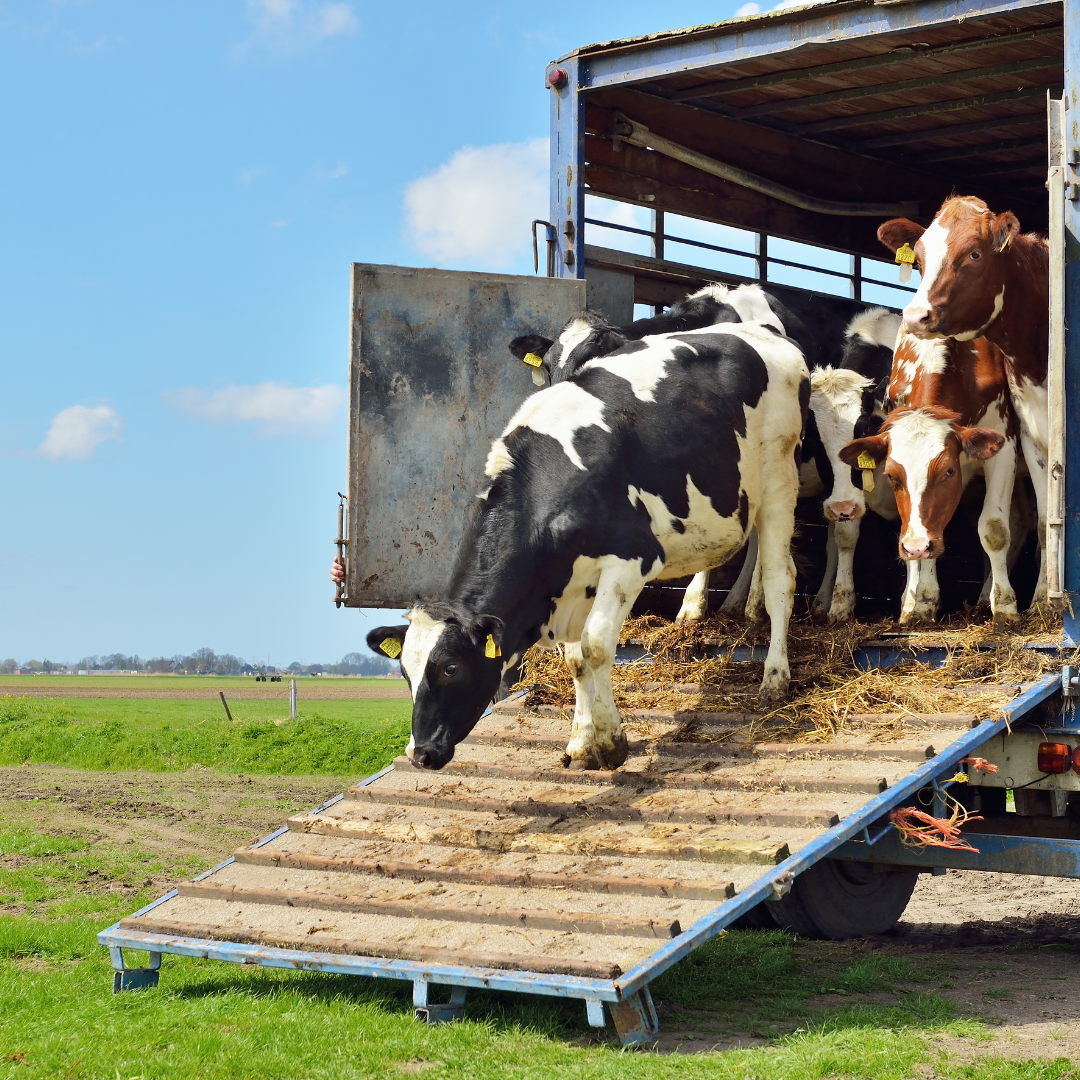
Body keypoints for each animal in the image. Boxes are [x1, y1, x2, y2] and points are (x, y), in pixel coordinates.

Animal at [368, 319, 809, 771]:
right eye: (405, 673)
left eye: (451, 668)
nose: (420, 753)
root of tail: (762, 330)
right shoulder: (569, 583)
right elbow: (576, 659)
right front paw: (581, 743)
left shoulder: (630, 559)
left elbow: (596, 647)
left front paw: (612, 742)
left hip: (779, 477)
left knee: (781, 579)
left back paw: (775, 677)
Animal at [839, 332, 1019, 626]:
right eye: (891, 476)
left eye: (948, 471)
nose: (916, 546)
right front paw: (920, 600)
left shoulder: (1003, 445)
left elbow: (995, 530)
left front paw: (1005, 606)